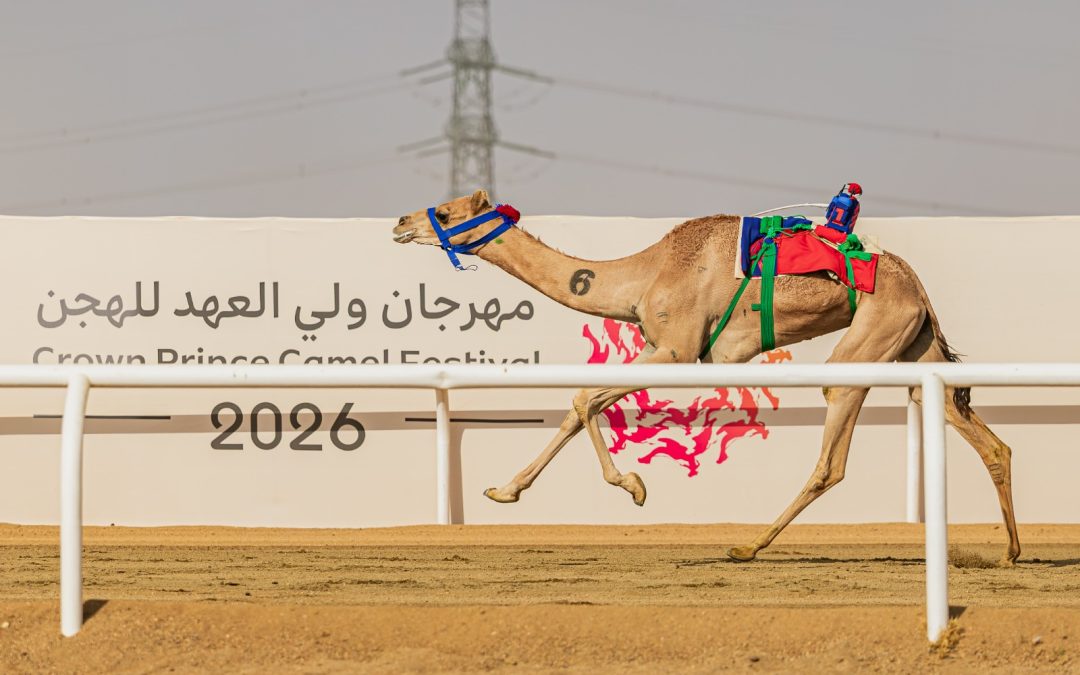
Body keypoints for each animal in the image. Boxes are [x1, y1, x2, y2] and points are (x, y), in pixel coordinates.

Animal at [392, 189, 1020, 565]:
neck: (644, 274)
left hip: (868, 341)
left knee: (833, 456)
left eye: (445, 212)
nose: (400, 221)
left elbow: (586, 396)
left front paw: (633, 486)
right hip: (914, 346)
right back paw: (1010, 552)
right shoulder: (655, 344)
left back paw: (747, 546)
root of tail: (918, 287)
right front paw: (505, 490)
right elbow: (581, 403)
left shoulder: (679, 349)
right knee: (984, 437)